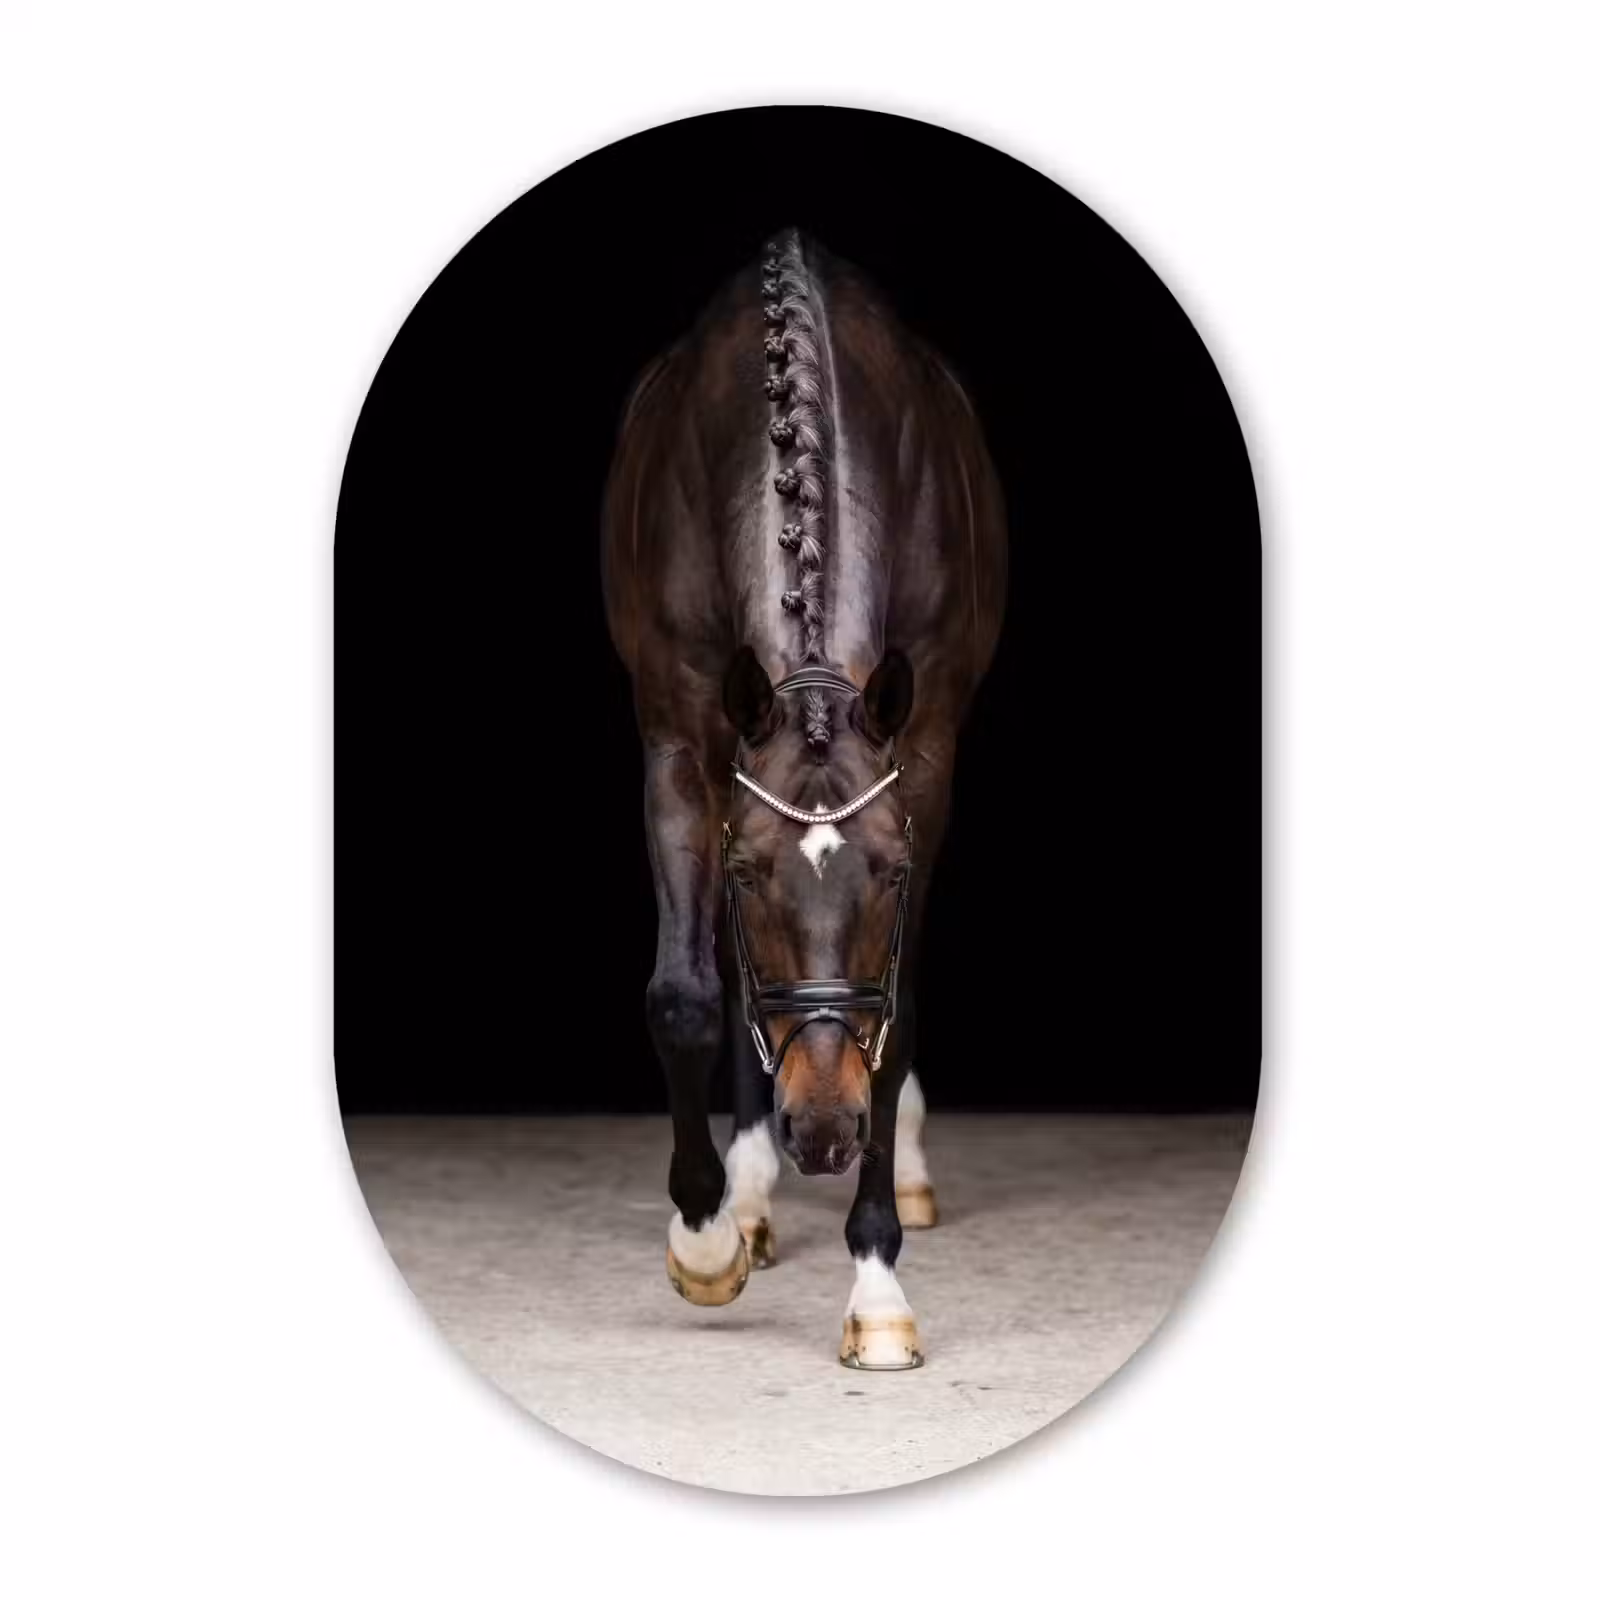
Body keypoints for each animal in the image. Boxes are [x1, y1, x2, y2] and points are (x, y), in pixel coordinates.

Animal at [602, 228, 1006, 1369]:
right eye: (745, 875)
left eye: (893, 872)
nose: (823, 1130)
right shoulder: (679, 745)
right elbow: (688, 995)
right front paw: (704, 1239)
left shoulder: (925, 757)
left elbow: (894, 1017)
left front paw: (876, 1288)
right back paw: (747, 1197)